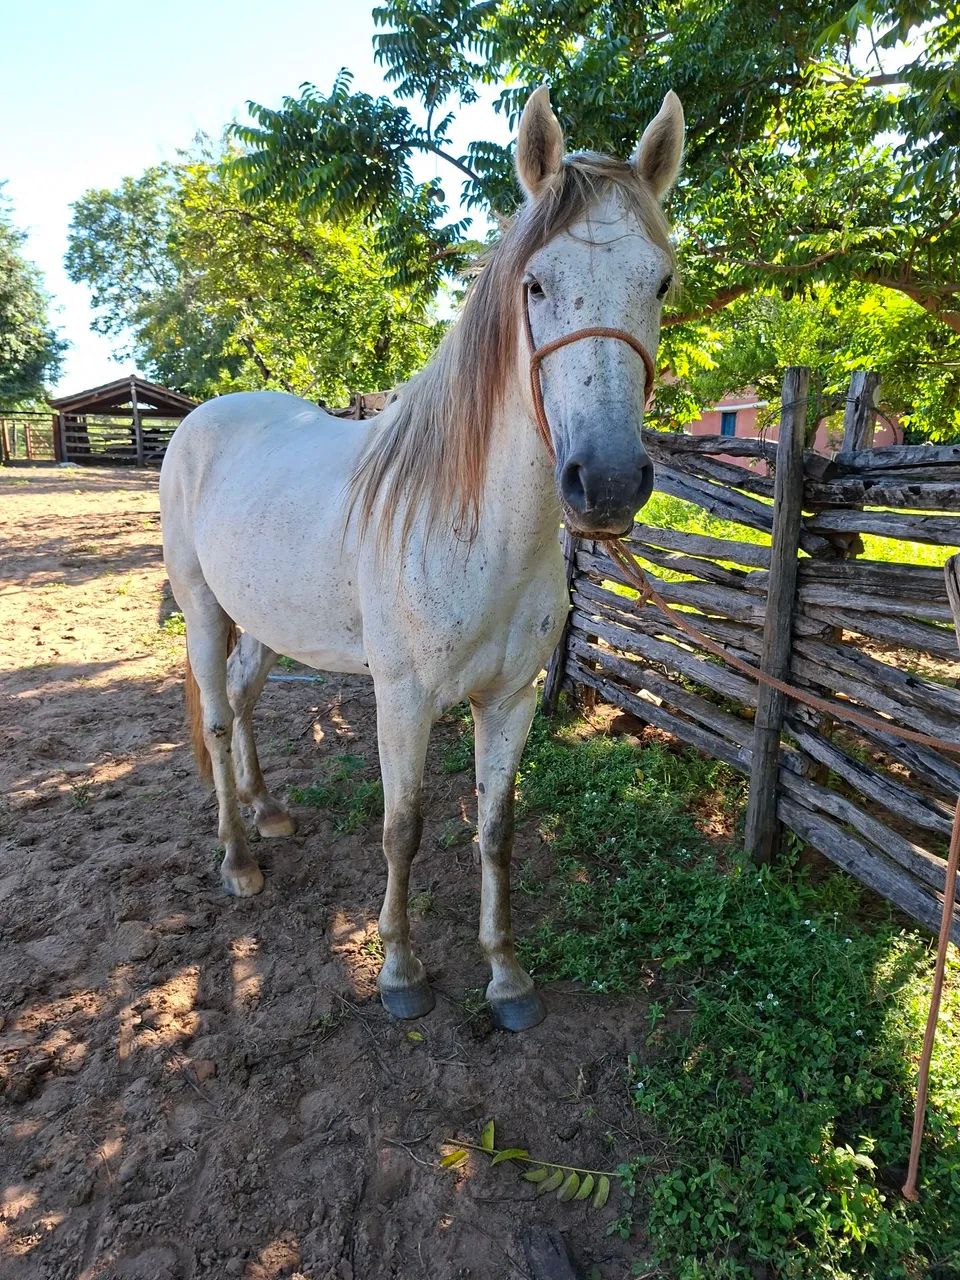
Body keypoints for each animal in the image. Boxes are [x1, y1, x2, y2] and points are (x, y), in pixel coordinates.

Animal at [159, 86, 684, 1032]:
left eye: (658, 282)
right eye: (535, 283)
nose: (608, 482)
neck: (475, 532)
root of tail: (201, 419)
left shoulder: (509, 701)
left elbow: (496, 829)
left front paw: (506, 977)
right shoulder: (401, 698)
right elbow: (401, 825)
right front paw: (400, 970)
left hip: (266, 621)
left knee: (247, 703)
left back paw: (268, 812)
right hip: (203, 611)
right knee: (217, 719)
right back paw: (238, 857)